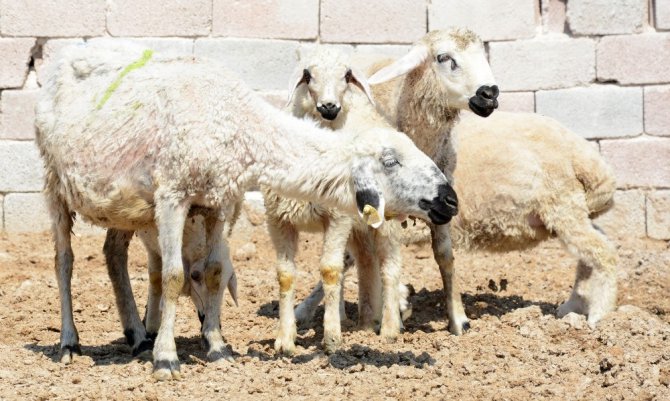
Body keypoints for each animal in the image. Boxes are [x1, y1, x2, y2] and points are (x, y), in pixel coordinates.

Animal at [36, 42, 456, 380]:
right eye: (390, 161)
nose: (450, 199)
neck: (238, 122)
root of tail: (70, 51)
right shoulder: (173, 195)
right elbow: (174, 277)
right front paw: (167, 358)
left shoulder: (219, 202)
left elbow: (212, 271)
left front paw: (217, 347)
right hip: (54, 182)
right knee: (64, 262)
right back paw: (70, 342)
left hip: (125, 208)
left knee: (113, 255)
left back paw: (138, 336)